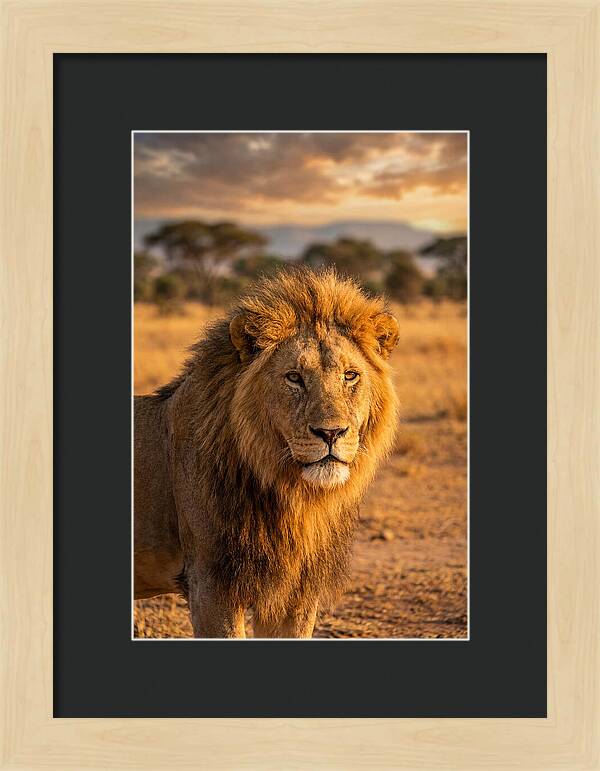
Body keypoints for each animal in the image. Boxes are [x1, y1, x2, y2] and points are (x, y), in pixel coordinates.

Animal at [134, 268, 399, 638]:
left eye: (350, 376)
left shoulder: (296, 593)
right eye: (294, 378)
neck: (293, 496)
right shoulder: (210, 585)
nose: (331, 433)